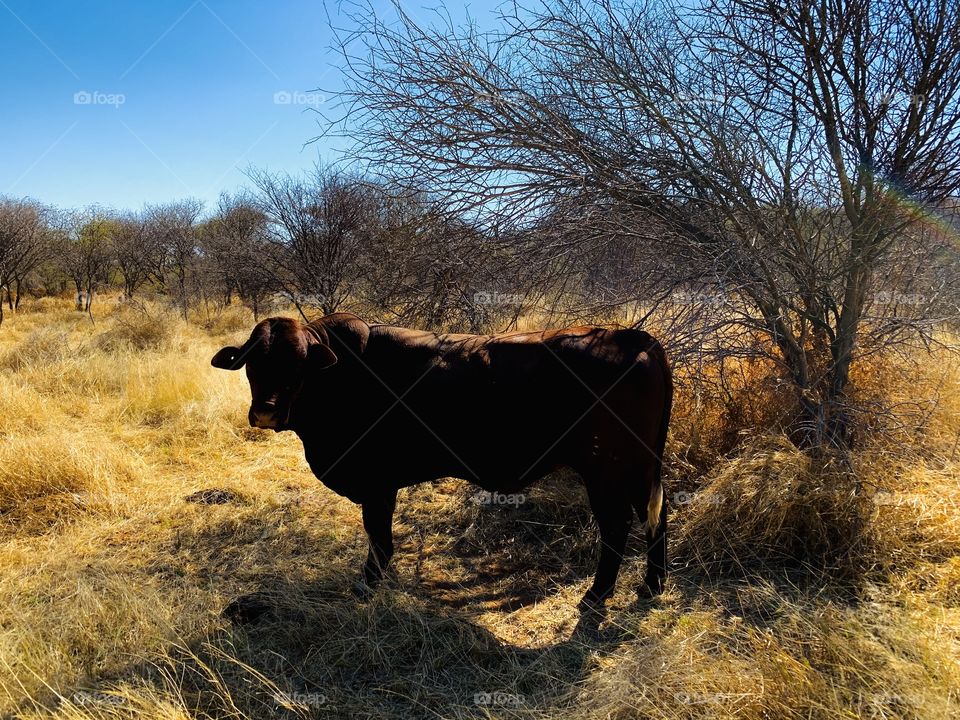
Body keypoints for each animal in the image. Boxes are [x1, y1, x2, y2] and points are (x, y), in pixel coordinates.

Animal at [213, 314, 672, 608]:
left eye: (297, 363)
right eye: (252, 362)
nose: (266, 412)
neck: (341, 378)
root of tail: (637, 340)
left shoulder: (377, 485)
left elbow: (380, 540)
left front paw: (368, 586)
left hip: (607, 471)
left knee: (616, 527)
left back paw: (596, 596)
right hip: (639, 468)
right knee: (656, 517)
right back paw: (651, 586)